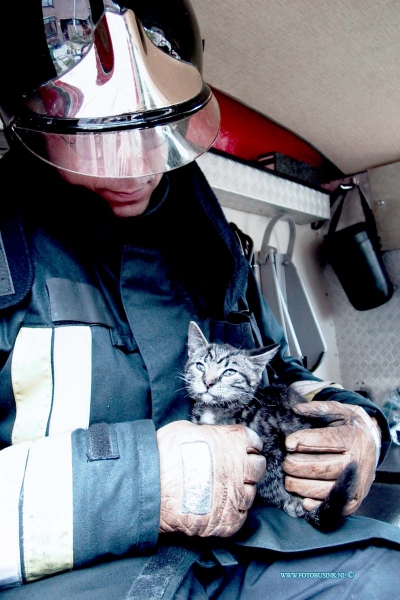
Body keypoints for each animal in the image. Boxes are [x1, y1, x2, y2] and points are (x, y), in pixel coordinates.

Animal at [184, 322, 356, 532]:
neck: (216, 409)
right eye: (200, 366)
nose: (207, 382)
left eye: (229, 372)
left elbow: (271, 476)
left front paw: (289, 501)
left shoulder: (275, 446)